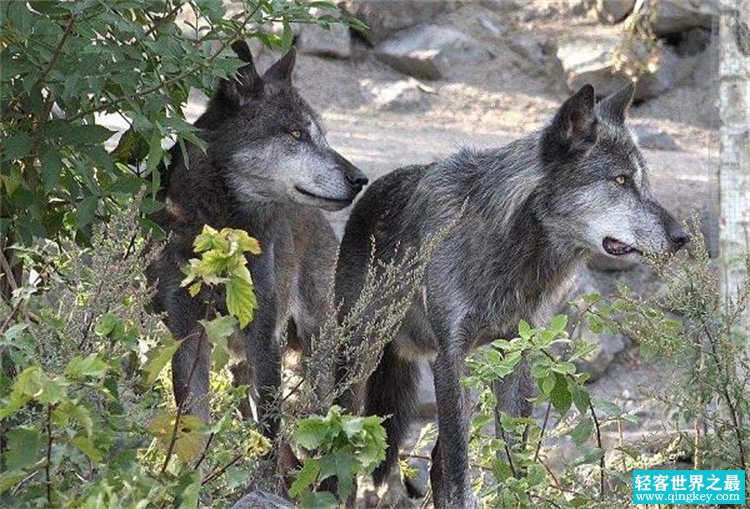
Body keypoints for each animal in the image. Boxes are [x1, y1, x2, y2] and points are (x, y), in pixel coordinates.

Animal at [149, 41, 368, 440]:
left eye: (322, 136)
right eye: (296, 134)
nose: (360, 178)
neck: (221, 233)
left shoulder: (264, 337)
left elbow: (269, 432)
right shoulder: (187, 336)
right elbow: (192, 427)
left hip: (316, 355)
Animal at [338, 81, 692, 506]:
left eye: (643, 182)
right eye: (620, 180)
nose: (682, 237)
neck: (510, 245)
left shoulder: (517, 354)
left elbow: (513, 460)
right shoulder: (449, 359)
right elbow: (460, 472)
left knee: (436, 462)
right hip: (356, 360)